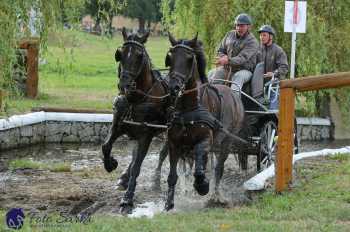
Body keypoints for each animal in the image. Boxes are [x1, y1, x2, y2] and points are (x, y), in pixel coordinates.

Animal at [101, 27, 171, 214]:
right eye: (120, 54)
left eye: (140, 55)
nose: (124, 84)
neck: (135, 99)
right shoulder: (118, 126)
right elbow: (106, 146)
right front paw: (111, 164)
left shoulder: (146, 135)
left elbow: (137, 167)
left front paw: (127, 199)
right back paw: (124, 178)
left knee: (163, 154)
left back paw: (155, 180)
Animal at [164, 34, 246, 210]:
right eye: (170, 57)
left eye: (189, 58)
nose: (174, 87)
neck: (189, 108)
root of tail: (232, 92)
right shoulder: (174, 144)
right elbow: (173, 175)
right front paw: (169, 204)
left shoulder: (205, 140)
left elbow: (200, 172)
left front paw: (202, 186)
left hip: (227, 141)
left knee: (219, 168)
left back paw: (216, 196)